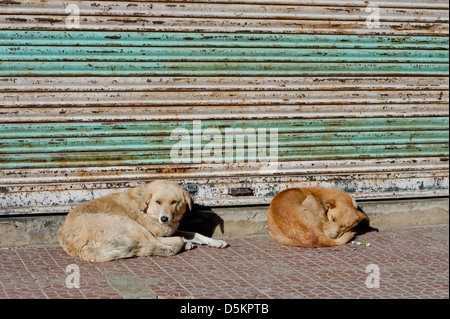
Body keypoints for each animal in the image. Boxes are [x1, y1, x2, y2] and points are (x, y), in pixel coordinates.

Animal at [59, 181, 229, 264]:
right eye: (158, 202)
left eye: (174, 202)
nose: (164, 219)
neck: (149, 212)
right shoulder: (158, 232)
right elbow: (177, 238)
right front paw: (186, 243)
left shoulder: (171, 229)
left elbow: (196, 234)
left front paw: (216, 242)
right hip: (131, 224)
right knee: (157, 244)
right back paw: (180, 246)